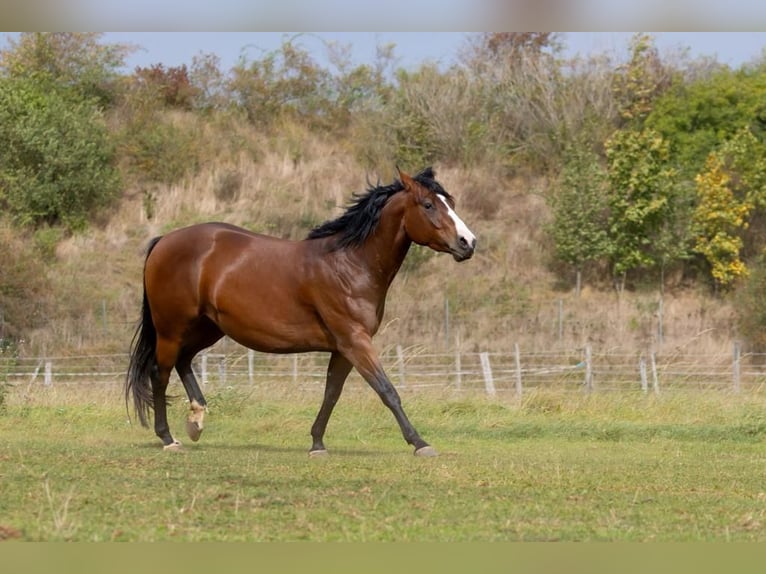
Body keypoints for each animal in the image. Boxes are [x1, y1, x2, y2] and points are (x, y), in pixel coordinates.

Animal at [125, 168, 474, 460]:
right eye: (428, 205)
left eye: (450, 202)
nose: (468, 242)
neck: (350, 264)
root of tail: (163, 241)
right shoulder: (355, 341)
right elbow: (387, 391)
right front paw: (420, 443)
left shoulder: (343, 349)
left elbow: (331, 393)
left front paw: (317, 443)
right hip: (172, 328)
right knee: (160, 372)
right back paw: (168, 438)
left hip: (207, 328)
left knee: (184, 362)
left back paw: (196, 422)